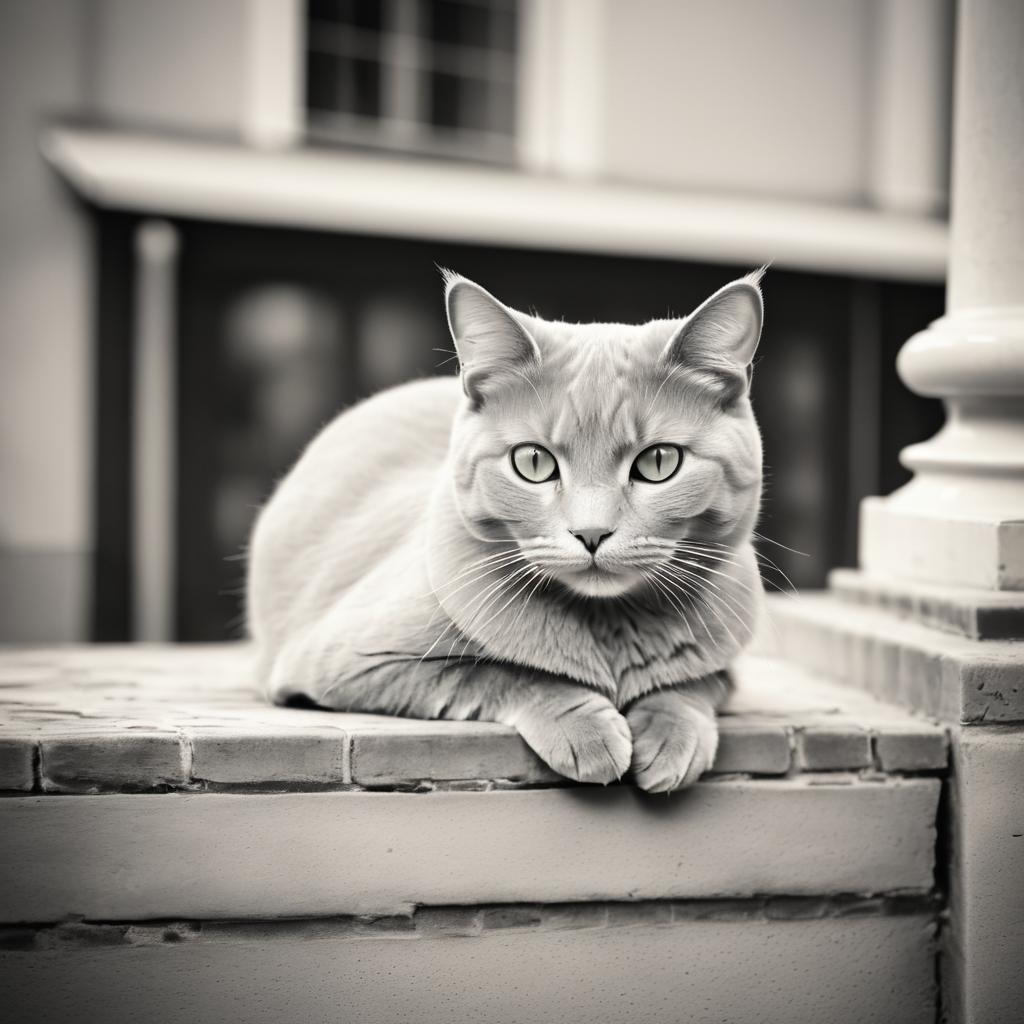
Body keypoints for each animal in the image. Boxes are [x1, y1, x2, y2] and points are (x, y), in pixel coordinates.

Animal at [245, 268, 761, 786]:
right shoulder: (353, 662)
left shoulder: (726, 659)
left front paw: (674, 737)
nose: (591, 533)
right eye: (533, 462)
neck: (607, 625)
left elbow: (698, 682)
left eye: (659, 462)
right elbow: (505, 673)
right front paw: (587, 733)